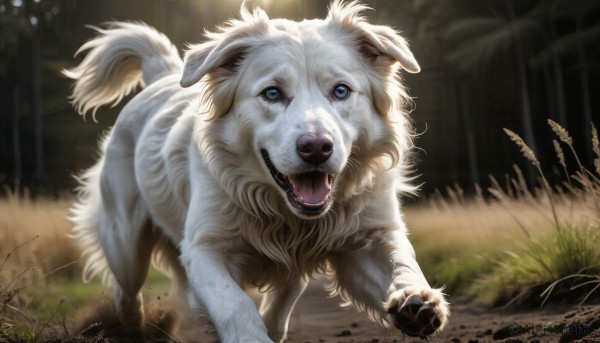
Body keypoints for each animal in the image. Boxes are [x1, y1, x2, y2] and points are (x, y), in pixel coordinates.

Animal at [65, 1, 450, 342]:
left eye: (341, 91)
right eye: (272, 93)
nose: (316, 147)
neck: (281, 212)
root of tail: (162, 77)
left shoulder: (369, 236)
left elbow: (403, 263)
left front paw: (416, 302)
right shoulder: (204, 248)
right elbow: (234, 306)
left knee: (287, 292)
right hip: (124, 244)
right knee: (126, 290)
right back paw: (132, 326)